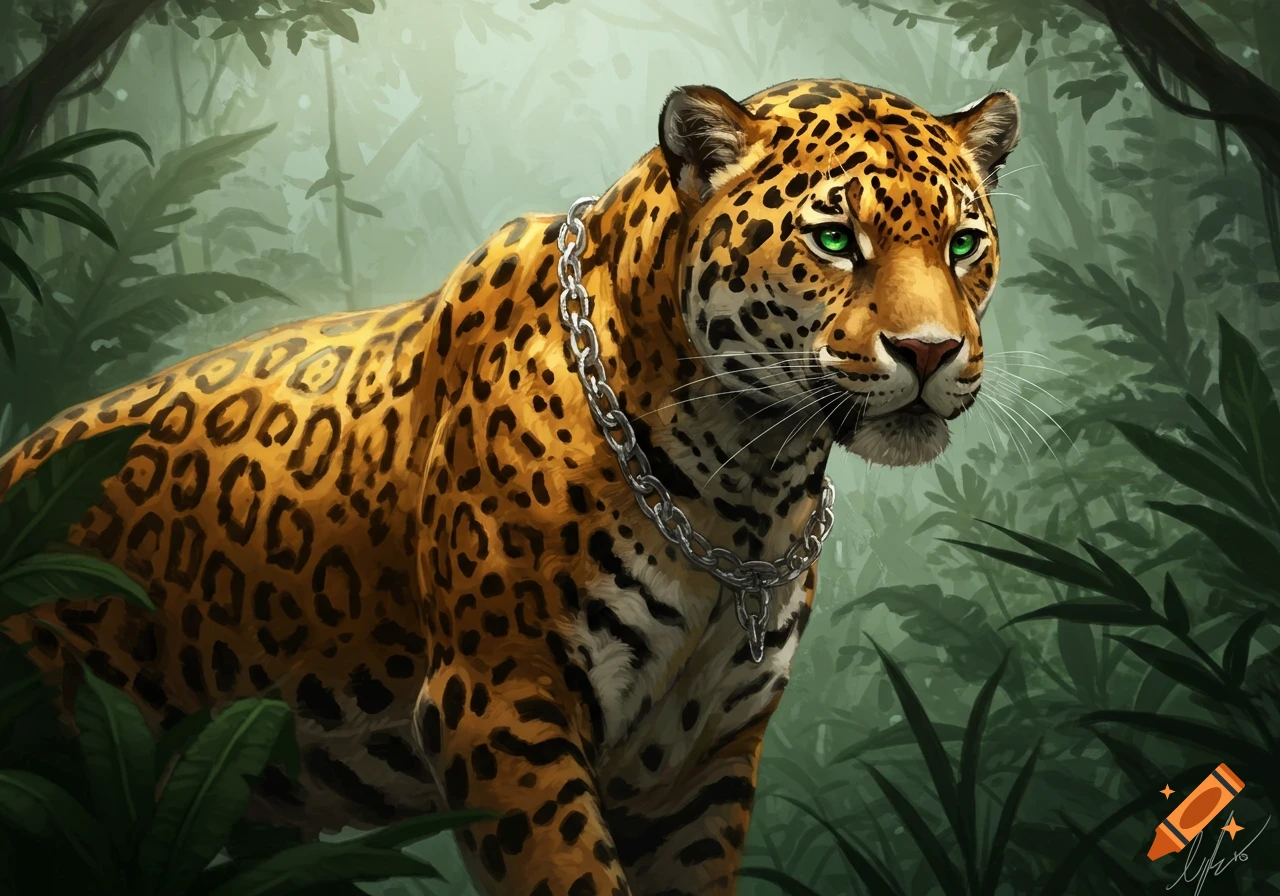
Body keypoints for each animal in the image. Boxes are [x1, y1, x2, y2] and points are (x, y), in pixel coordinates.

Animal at [0, 78, 1019, 895]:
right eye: (836, 238)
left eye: (965, 244)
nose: (931, 351)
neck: (744, 487)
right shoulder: (496, 699)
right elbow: (569, 874)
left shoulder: (705, 762)